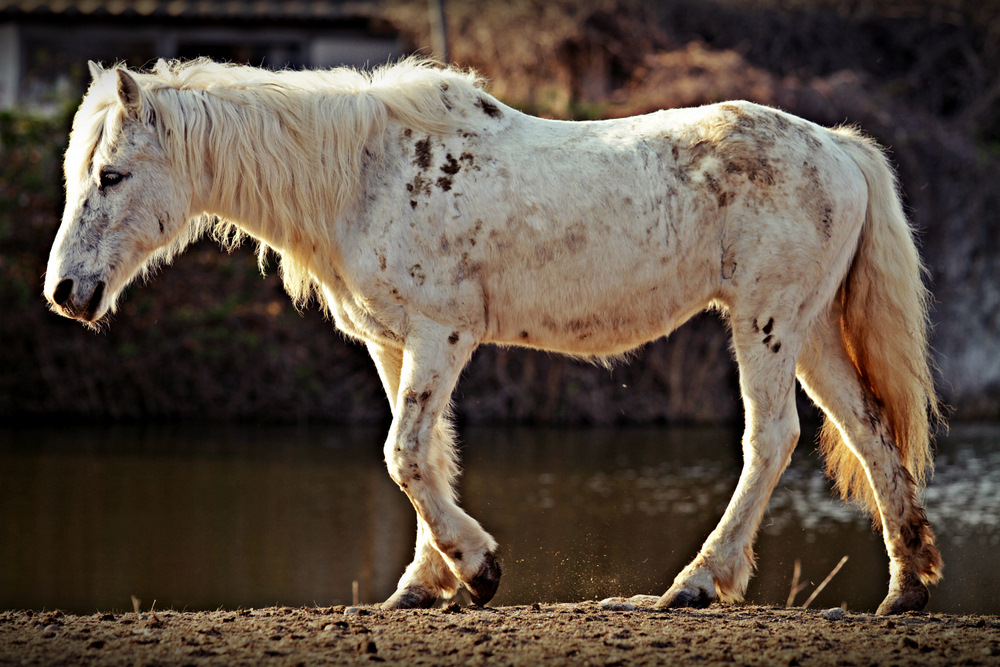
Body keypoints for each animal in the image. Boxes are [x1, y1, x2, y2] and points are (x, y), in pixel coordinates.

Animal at [43, 57, 940, 616]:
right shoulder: (393, 344)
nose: (64, 293)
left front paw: (477, 571)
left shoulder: (442, 335)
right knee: (868, 431)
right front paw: (423, 584)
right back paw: (906, 588)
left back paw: (693, 584)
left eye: (111, 175)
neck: (363, 174)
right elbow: (427, 454)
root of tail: (838, 146)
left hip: (766, 323)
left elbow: (404, 454)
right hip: (810, 331)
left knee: (772, 438)